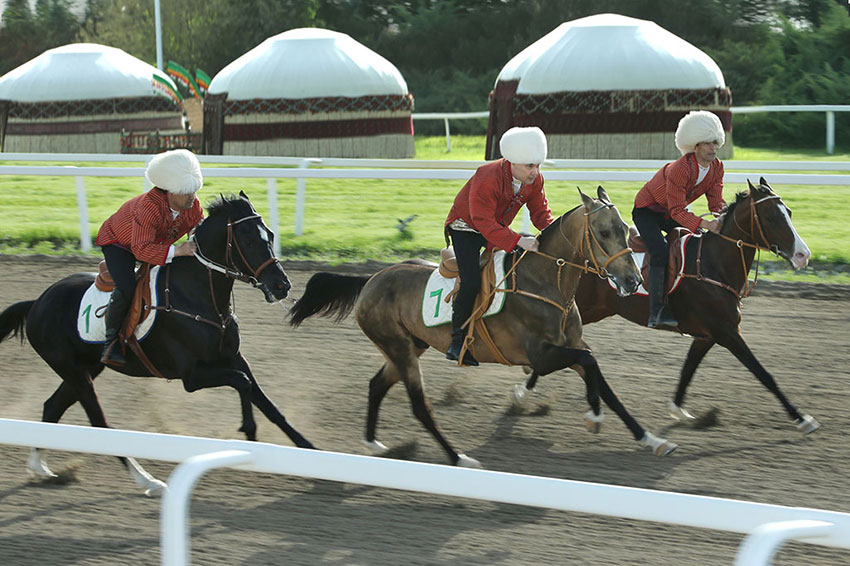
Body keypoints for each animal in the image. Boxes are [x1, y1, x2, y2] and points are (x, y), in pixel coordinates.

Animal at [0, 192, 314, 496]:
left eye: (270, 235)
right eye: (248, 239)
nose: (281, 285)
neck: (197, 295)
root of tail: (36, 303)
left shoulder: (234, 358)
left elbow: (267, 403)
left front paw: (311, 452)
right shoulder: (192, 376)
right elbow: (242, 383)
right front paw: (249, 430)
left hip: (85, 368)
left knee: (52, 405)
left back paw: (40, 469)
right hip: (74, 371)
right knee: (100, 423)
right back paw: (147, 481)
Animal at [292, 189, 676, 468]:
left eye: (626, 229)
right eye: (604, 232)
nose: (632, 280)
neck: (542, 283)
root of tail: (371, 279)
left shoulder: (570, 344)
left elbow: (606, 384)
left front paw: (653, 440)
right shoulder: (540, 357)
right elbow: (589, 363)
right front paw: (594, 416)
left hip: (408, 346)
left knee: (376, 386)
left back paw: (374, 443)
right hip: (400, 350)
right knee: (420, 406)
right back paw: (458, 457)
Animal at [512, 180, 820, 438]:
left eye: (789, 212)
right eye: (771, 217)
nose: (803, 255)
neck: (712, 263)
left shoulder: (707, 335)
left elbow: (688, 370)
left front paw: (678, 409)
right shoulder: (727, 332)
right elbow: (764, 374)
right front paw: (801, 418)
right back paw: (523, 389)